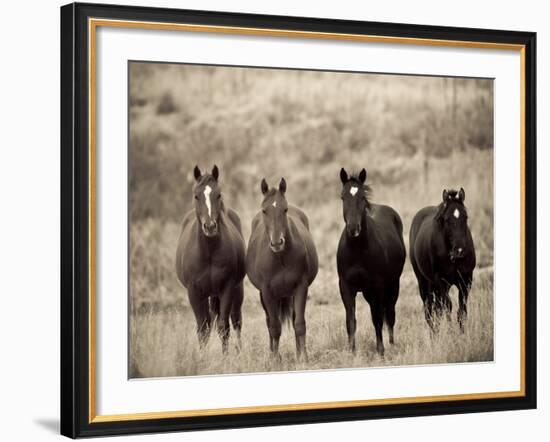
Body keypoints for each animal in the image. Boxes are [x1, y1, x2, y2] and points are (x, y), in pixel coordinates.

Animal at [176, 164, 247, 354]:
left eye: (219, 195)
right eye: (196, 195)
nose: (209, 227)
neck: (208, 252)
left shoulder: (227, 288)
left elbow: (223, 327)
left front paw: (225, 357)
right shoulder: (194, 292)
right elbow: (203, 329)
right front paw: (202, 357)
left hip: (237, 290)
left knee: (236, 321)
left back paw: (240, 351)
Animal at [247, 178, 320, 360]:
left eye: (285, 209)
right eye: (264, 210)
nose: (277, 243)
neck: (280, 258)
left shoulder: (301, 287)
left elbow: (299, 324)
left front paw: (303, 357)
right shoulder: (267, 292)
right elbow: (274, 327)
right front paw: (274, 359)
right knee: (269, 322)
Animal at [334, 167, 408, 356]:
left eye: (361, 197)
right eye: (342, 197)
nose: (353, 229)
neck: (358, 251)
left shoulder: (377, 287)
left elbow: (377, 319)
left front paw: (380, 350)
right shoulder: (346, 288)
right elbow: (351, 321)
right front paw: (352, 352)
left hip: (392, 285)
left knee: (389, 314)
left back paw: (391, 344)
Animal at [412, 186, 476, 332]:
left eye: (465, 217)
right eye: (447, 220)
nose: (460, 250)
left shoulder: (466, 280)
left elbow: (461, 311)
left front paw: (462, 334)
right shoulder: (441, 281)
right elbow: (448, 307)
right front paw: (451, 333)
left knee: (436, 310)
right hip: (423, 282)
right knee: (429, 311)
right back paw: (434, 334)